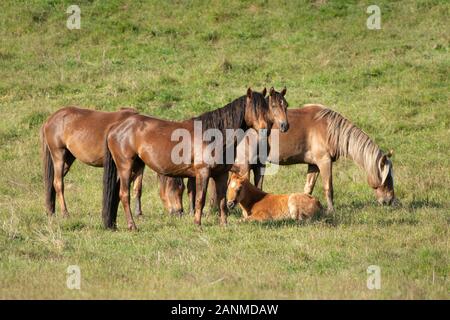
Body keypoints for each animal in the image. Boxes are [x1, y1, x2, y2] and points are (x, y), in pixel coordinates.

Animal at [101, 88, 288, 230]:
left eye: (266, 107)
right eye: (256, 108)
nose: (264, 130)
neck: (213, 136)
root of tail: (116, 127)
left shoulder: (221, 175)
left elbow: (221, 199)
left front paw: (224, 224)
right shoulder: (202, 173)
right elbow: (200, 198)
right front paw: (197, 223)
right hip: (126, 167)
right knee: (124, 194)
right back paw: (132, 225)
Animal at [253, 104, 398, 211]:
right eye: (387, 178)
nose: (389, 200)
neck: (329, 129)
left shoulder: (313, 165)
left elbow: (308, 188)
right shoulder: (324, 161)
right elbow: (328, 188)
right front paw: (331, 211)